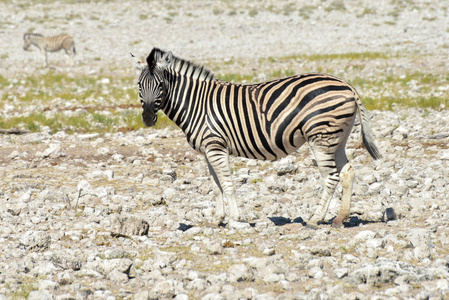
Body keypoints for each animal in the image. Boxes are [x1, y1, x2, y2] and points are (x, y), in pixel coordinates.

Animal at [130, 48, 382, 227]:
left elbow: (227, 183)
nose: (148, 118)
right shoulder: (207, 150)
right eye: (139, 85)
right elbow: (216, 186)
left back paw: (315, 218)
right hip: (337, 138)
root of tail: (346, 84)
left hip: (321, 136)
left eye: (161, 85)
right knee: (347, 172)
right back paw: (340, 218)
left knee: (331, 177)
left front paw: (236, 218)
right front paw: (216, 219)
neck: (196, 104)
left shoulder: (216, 146)